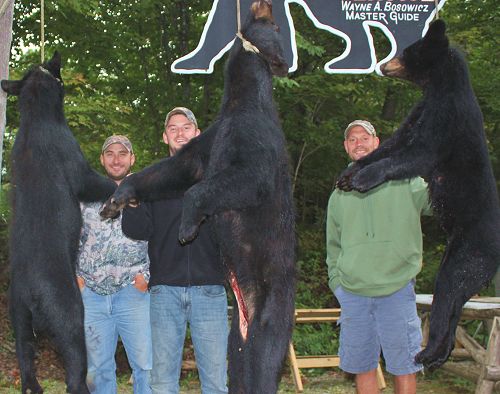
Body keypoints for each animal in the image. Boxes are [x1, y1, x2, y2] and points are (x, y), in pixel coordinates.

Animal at [0, 53, 115, 394]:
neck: (37, 117)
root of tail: (31, 292)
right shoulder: (77, 165)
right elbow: (97, 183)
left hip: (18, 320)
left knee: (27, 362)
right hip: (69, 316)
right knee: (74, 369)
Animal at [102, 1, 296, 392]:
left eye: (277, 26)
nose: (265, 7)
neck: (239, 101)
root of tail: (250, 306)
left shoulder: (257, 143)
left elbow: (243, 179)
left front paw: (187, 224)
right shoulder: (210, 141)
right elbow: (179, 168)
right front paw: (121, 194)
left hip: (275, 296)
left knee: (267, 351)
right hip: (238, 327)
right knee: (240, 357)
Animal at [336, 18, 500, 370]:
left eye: (406, 51)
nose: (381, 64)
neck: (440, 87)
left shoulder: (447, 118)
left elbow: (415, 154)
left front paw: (365, 178)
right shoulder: (418, 112)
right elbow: (391, 144)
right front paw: (349, 173)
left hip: (471, 249)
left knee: (450, 288)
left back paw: (429, 351)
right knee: (454, 302)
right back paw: (437, 354)